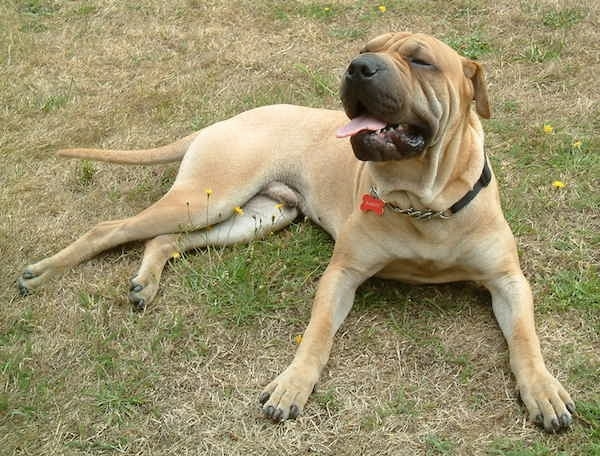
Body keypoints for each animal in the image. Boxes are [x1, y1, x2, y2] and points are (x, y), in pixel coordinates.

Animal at [17, 31, 572, 432]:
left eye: (420, 60)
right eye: (367, 47)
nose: (358, 66)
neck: (424, 202)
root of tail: (222, 121)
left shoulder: (507, 281)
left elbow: (525, 338)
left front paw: (543, 390)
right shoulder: (342, 274)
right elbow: (318, 333)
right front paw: (292, 385)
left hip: (253, 215)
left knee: (165, 240)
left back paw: (145, 283)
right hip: (208, 196)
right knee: (110, 228)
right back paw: (42, 273)